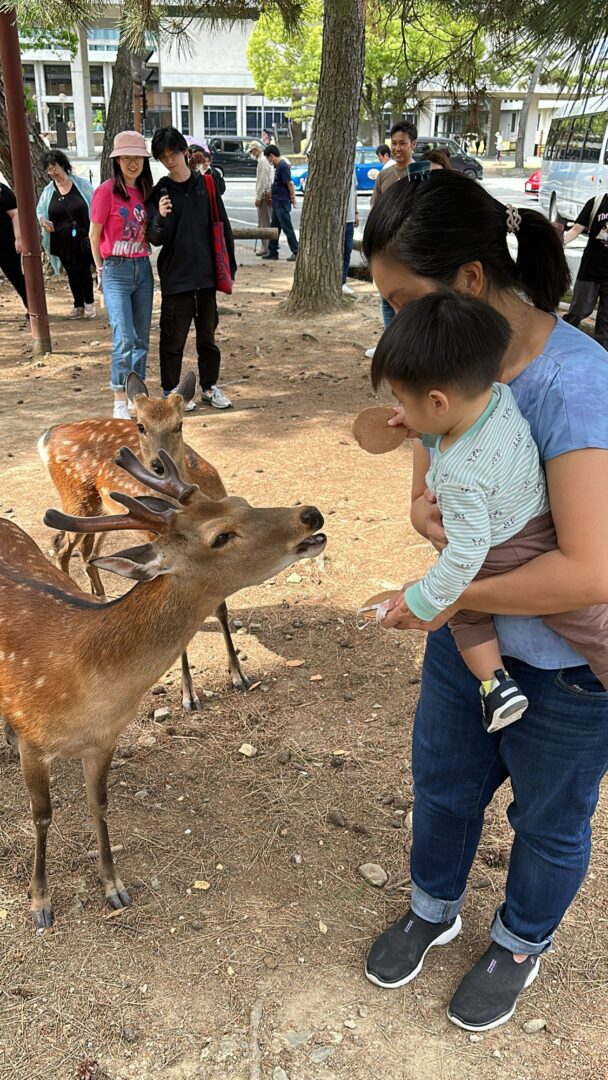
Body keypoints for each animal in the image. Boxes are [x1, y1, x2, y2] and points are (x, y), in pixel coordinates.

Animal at [1, 447, 328, 928]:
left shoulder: (105, 740)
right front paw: (40, 903)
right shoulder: (34, 742)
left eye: (242, 501)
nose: (310, 514)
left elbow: (99, 805)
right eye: (221, 536)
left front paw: (114, 887)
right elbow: (41, 815)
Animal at [38, 367, 246, 712]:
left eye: (179, 424)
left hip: (103, 511)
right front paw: (188, 695)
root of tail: (49, 435)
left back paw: (98, 594)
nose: (157, 466)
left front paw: (238, 675)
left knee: (85, 551)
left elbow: (222, 610)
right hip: (75, 501)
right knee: (61, 548)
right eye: (141, 426)